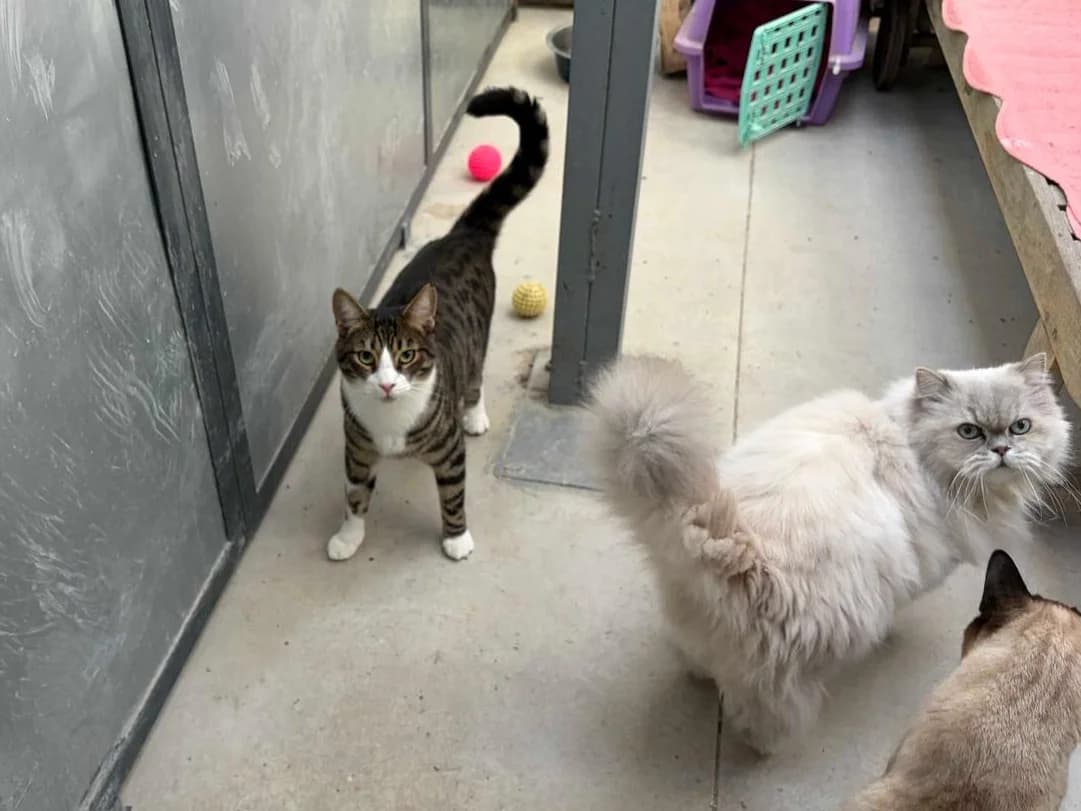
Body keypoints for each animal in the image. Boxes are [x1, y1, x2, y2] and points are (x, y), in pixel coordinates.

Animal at [328, 86, 548, 562]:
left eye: (407, 355)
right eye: (366, 357)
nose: (387, 384)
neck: (391, 421)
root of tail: (462, 235)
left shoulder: (448, 451)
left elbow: (452, 494)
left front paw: (456, 537)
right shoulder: (356, 447)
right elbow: (354, 495)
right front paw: (348, 537)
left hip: (478, 339)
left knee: (475, 376)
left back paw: (475, 413)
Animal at [587, 354, 1071, 753]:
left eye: (1021, 426)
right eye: (969, 431)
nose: (1002, 450)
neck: (914, 448)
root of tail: (736, 545)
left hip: (694, 619)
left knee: (696, 654)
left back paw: (700, 673)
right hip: (801, 659)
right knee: (768, 708)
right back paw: (763, 747)